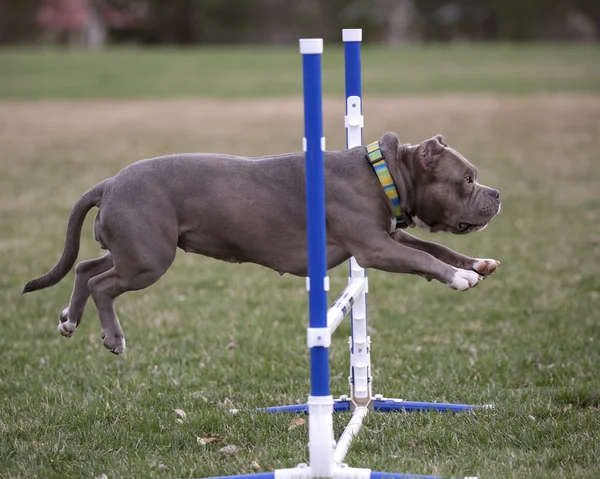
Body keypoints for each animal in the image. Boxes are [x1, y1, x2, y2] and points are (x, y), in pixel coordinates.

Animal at [22, 133, 502, 354]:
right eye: (467, 179)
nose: (497, 194)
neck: (384, 173)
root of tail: (109, 183)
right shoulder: (375, 248)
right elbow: (423, 257)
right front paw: (459, 278)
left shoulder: (390, 235)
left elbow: (436, 249)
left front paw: (476, 264)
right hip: (148, 259)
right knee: (101, 284)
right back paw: (114, 338)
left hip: (129, 251)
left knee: (85, 269)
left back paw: (69, 320)